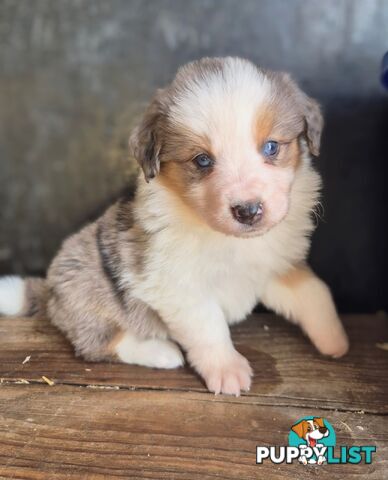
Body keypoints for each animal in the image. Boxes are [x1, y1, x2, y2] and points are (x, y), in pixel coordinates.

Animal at [0, 57, 348, 394]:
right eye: (202, 160)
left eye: (272, 147)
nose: (248, 211)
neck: (231, 241)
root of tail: (49, 291)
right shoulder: (178, 286)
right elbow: (209, 327)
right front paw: (228, 371)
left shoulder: (275, 266)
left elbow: (315, 291)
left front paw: (336, 341)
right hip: (90, 291)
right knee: (97, 343)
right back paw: (161, 352)